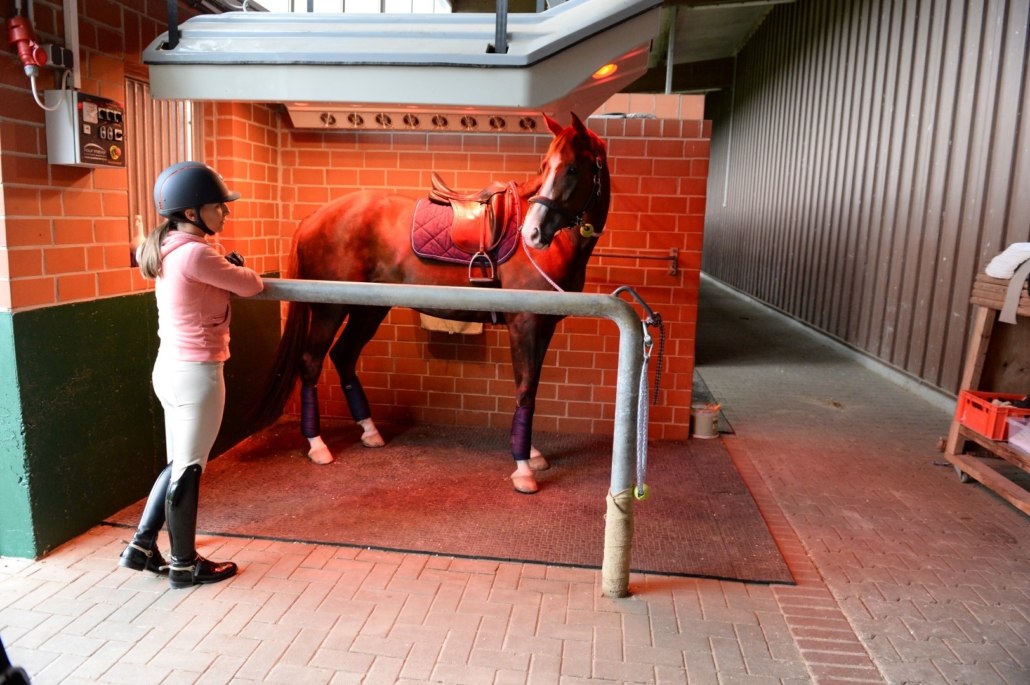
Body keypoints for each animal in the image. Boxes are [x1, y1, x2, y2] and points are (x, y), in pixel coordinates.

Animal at [257, 112, 611, 494]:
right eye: (545, 167)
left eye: (572, 168)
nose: (532, 234)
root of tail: (315, 217)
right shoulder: (524, 325)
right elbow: (525, 391)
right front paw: (523, 469)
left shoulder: (542, 328)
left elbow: (530, 389)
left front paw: (529, 454)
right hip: (329, 311)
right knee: (311, 362)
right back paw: (318, 445)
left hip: (369, 310)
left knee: (344, 355)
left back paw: (369, 431)